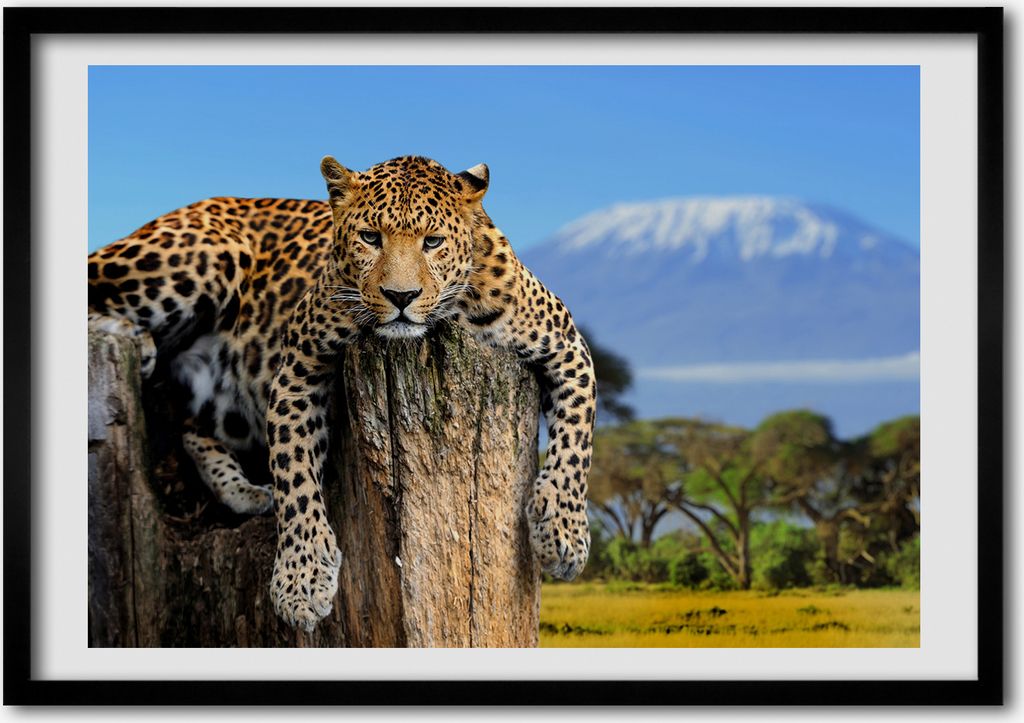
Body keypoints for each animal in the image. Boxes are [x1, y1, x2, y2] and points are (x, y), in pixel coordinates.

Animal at [87, 155, 596, 631]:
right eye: (370, 237)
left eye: (432, 242)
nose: (401, 297)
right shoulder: (298, 366)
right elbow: (294, 473)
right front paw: (301, 580)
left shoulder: (569, 347)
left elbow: (577, 442)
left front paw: (563, 534)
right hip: (203, 254)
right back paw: (134, 340)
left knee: (192, 429)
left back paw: (246, 491)